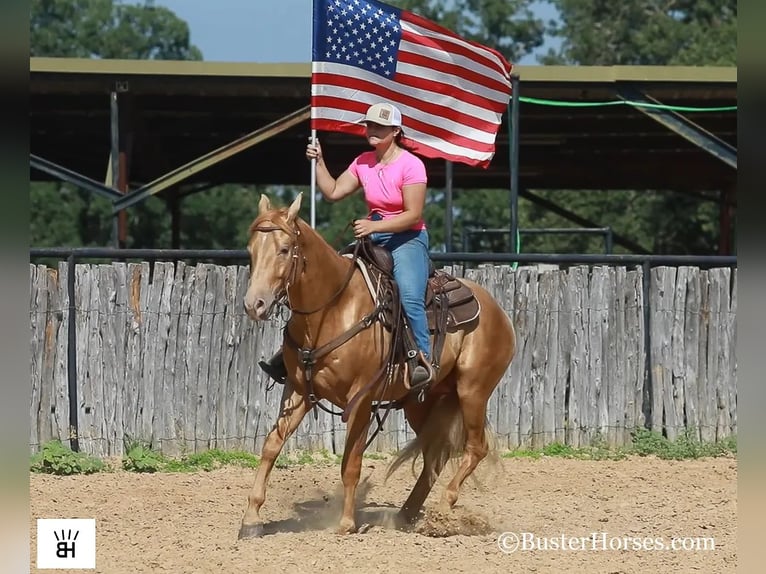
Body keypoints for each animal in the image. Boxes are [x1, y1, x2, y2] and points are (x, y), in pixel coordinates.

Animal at [240, 194, 516, 540]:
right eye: (251, 250)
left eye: (284, 249)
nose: (255, 304)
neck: (333, 308)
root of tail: (500, 313)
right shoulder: (299, 390)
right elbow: (270, 446)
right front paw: (251, 518)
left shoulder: (361, 399)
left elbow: (351, 462)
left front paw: (346, 523)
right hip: (423, 401)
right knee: (435, 455)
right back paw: (406, 515)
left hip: (473, 391)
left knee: (475, 447)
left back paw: (442, 510)